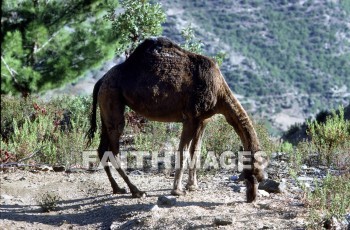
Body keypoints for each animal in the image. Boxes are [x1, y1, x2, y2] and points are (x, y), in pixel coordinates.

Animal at [86, 36, 266, 202]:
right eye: (254, 175)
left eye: (261, 177)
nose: (252, 197)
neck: (219, 92)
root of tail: (101, 80)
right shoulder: (191, 118)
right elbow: (183, 152)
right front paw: (177, 190)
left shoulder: (203, 120)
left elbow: (195, 151)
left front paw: (192, 186)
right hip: (113, 99)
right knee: (114, 148)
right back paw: (136, 190)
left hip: (106, 107)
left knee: (102, 148)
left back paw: (118, 188)